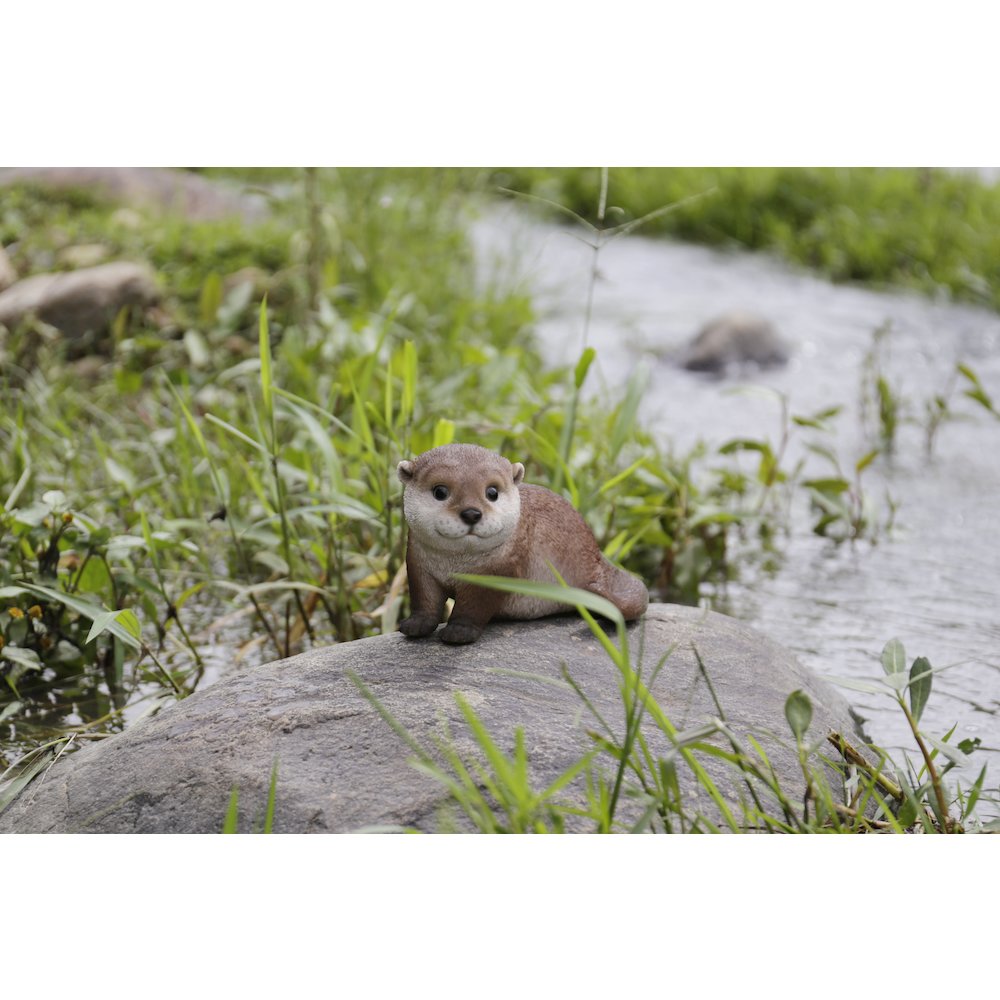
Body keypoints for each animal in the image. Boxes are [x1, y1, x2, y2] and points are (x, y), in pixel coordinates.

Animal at [396, 443, 649, 644]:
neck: (454, 564)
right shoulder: (418, 563)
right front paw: (415, 624)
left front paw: (459, 631)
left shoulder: (496, 570)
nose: (471, 513)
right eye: (440, 491)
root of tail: (596, 556)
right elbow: (424, 598)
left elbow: (474, 606)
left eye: (492, 492)